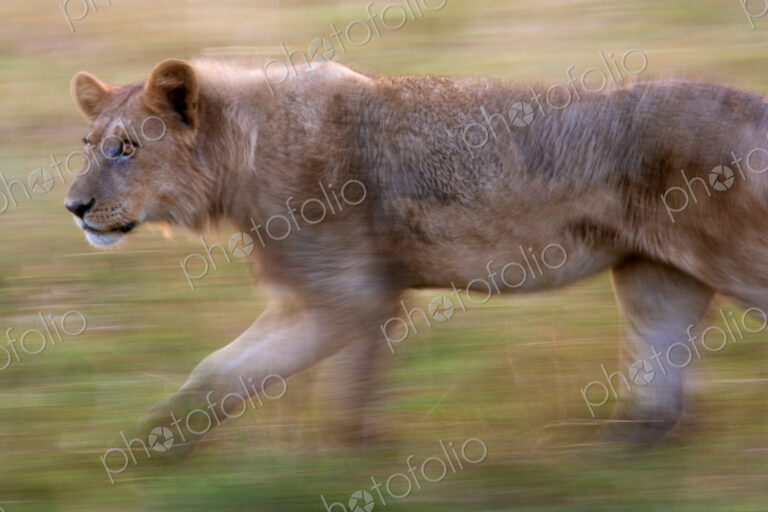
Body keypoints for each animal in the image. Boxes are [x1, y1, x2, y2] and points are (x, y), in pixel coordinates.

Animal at [65, 57, 768, 456]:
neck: (239, 155)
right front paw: (355, 452)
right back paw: (621, 446)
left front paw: (155, 447)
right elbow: (323, 381)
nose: (74, 206)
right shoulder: (362, 297)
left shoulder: (344, 298)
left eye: (127, 148)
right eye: (90, 143)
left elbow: (230, 370)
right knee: (660, 368)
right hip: (656, 276)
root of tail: (753, 104)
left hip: (734, 260)